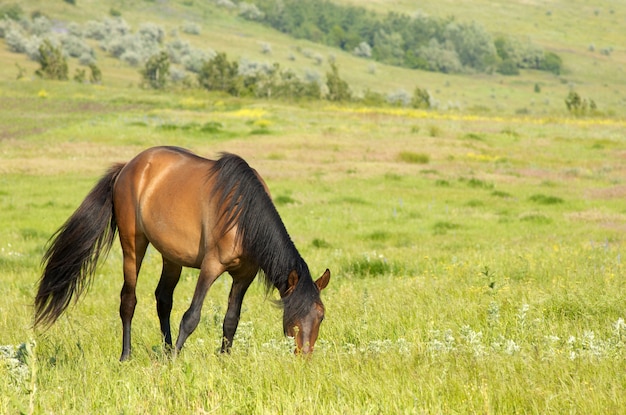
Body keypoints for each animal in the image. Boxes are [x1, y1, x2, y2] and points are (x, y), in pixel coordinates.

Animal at [34, 146, 330, 360]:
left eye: (321, 315)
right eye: (293, 314)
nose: (305, 356)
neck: (243, 216)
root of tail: (127, 167)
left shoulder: (244, 275)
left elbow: (231, 319)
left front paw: (223, 359)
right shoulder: (211, 266)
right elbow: (191, 316)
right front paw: (176, 359)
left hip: (172, 257)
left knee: (163, 299)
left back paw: (164, 350)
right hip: (133, 245)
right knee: (128, 300)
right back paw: (127, 356)